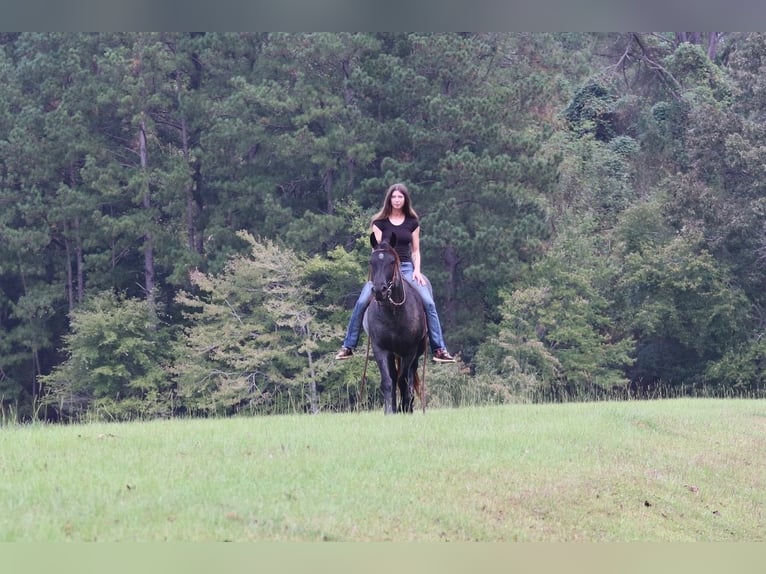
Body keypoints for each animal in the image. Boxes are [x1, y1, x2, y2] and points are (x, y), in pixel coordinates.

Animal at [364, 232, 428, 416]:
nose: (380, 290)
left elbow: (403, 380)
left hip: (416, 353)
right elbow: (388, 380)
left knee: (409, 377)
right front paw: (389, 410)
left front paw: (405, 408)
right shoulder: (381, 349)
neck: (394, 313)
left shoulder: (409, 351)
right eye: (371, 262)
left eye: (392, 261)